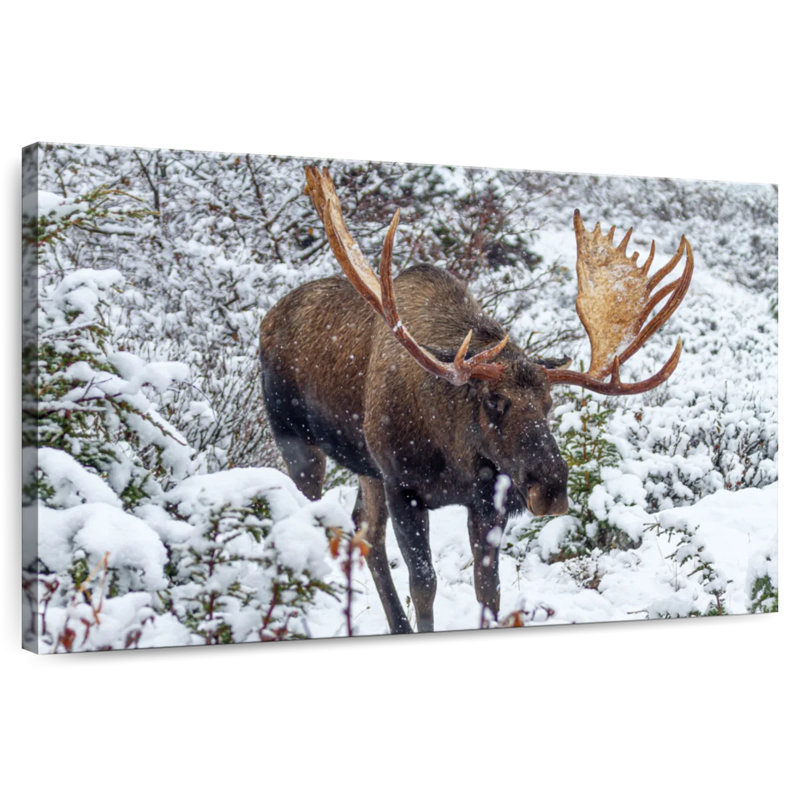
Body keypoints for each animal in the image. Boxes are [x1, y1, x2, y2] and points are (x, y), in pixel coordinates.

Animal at [259, 167, 693, 634]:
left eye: (549, 403)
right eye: (493, 400)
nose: (552, 485)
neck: (452, 455)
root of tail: (267, 318)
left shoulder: (487, 497)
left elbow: (489, 588)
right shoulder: (403, 485)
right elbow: (424, 583)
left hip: (364, 466)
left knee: (366, 533)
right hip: (296, 440)